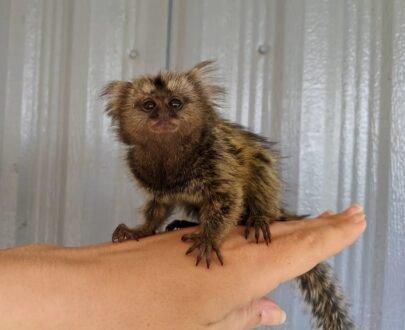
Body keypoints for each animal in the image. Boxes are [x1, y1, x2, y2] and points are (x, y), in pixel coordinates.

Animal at [102, 60, 356, 328]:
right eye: (149, 105)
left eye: (175, 103)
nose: (163, 116)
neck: (170, 155)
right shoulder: (151, 178)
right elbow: (158, 207)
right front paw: (141, 230)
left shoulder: (218, 156)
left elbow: (228, 196)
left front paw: (208, 237)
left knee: (260, 163)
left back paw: (259, 218)